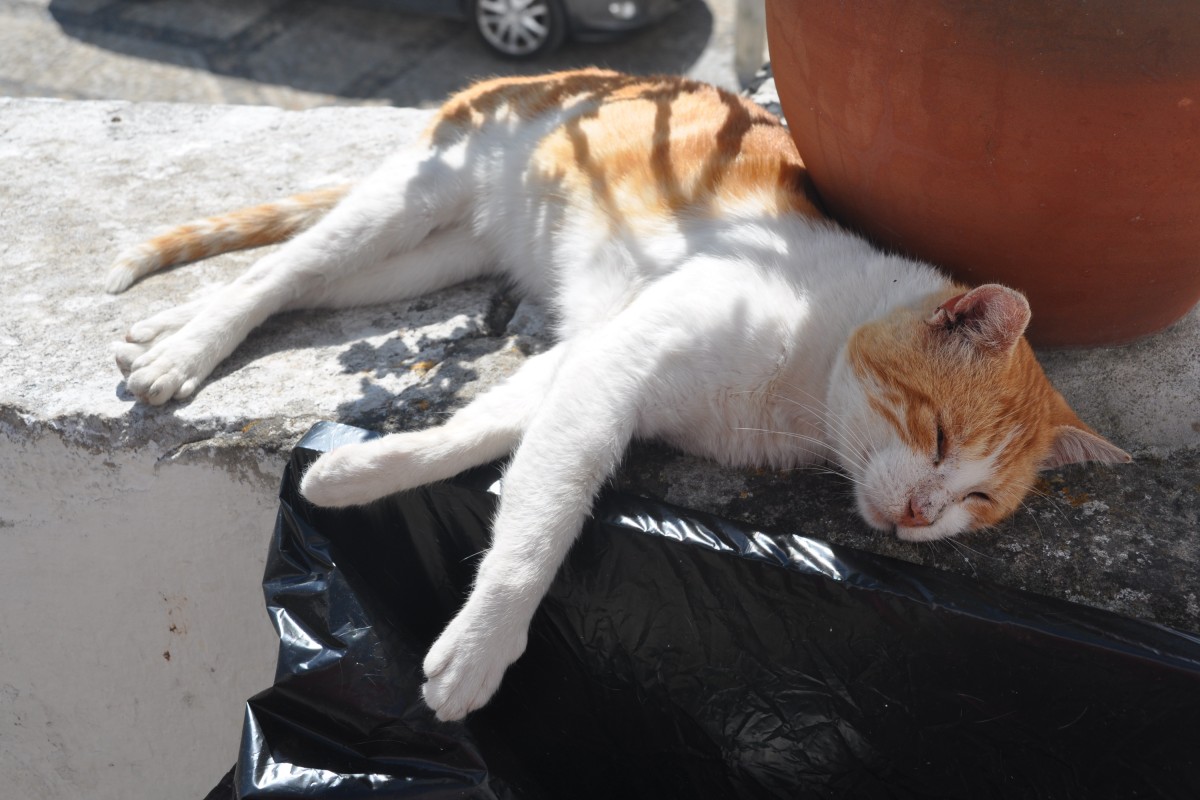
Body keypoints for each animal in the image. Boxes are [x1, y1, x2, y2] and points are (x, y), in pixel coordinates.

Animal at [108, 67, 1128, 719]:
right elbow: (541, 522)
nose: (922, 515)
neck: (803, 380)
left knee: (298, 284)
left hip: (425, 257)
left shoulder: (586, 360)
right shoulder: (616, 372)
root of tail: (573, 72)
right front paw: (481, 648)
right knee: (278, 271)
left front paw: (349, 477)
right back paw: (183, 350)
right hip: (405, 204)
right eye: (940, 433)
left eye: (979, 499)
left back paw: (165, 329)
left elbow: (472, 435)